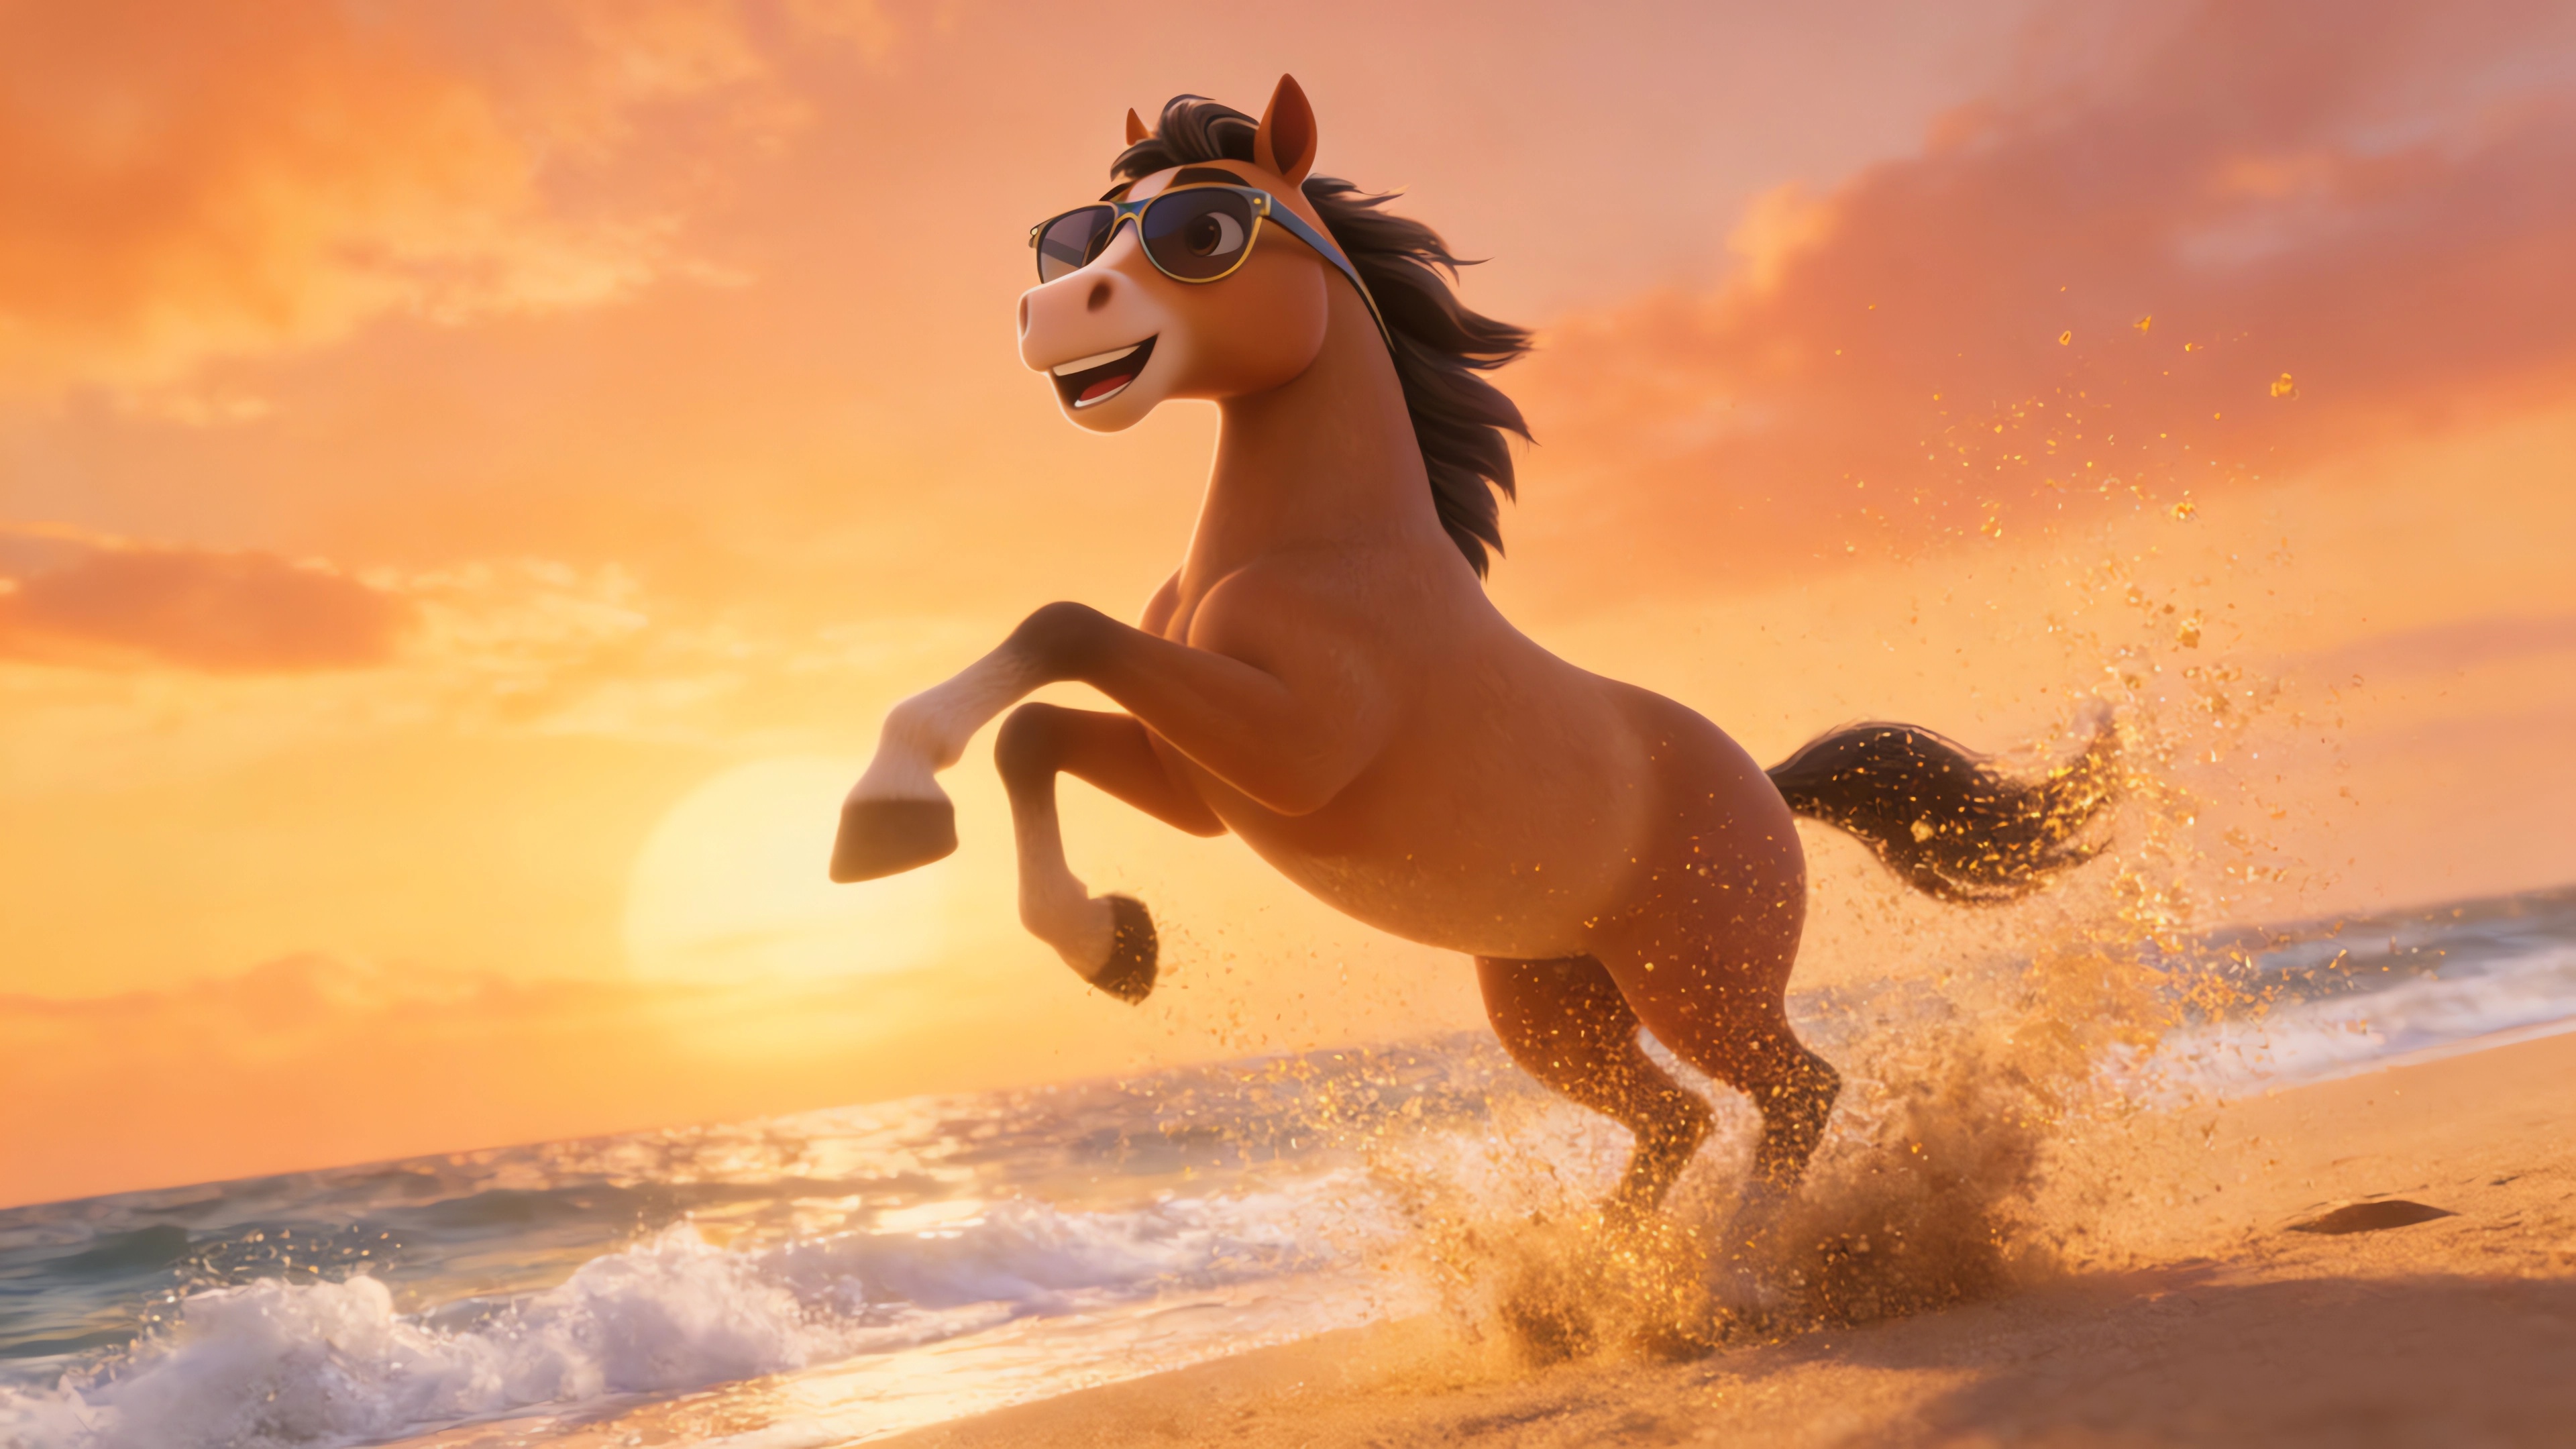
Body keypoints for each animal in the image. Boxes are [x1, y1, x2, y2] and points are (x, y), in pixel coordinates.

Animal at [832, 77, 2113, 1218]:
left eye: (1203, 231)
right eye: (1074, 240)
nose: (1049, 315)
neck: (1316, 545)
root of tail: (1769, 786)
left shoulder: (1287, 753)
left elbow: (1059, 629)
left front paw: (892, 815)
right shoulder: (1202, 785)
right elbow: (1034, 730)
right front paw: (1102, 940)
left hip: (1700, 987)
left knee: (1796, 1090)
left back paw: (1746, 1269)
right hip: (1551, 1006)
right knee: (1678, 1120)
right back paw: (1604, 1293)